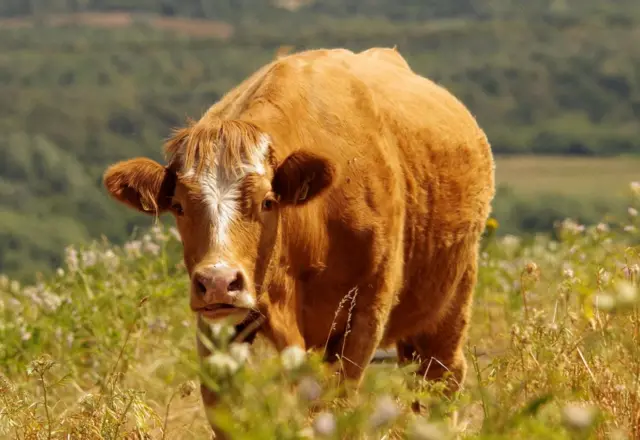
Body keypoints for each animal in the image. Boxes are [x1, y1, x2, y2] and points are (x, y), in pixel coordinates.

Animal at [104, 46, 496, 434]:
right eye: (179, 206)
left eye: (267, 201)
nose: (217, 281)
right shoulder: (220, 329)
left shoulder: (365, 313)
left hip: (451, 298)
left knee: (440, 378)